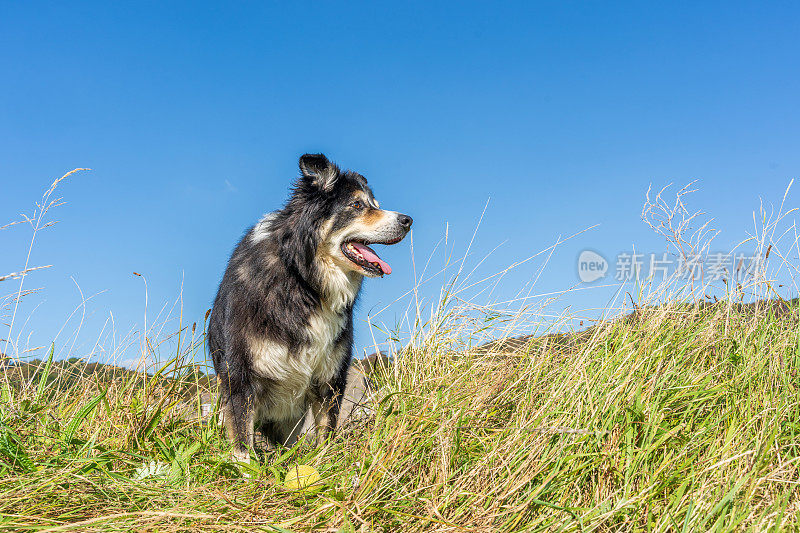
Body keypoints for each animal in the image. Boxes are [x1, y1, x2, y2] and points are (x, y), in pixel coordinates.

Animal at [206, 154, 412, 462]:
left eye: (374, 204)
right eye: (357, 205)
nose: (408, 220)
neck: (303, 279)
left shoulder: (330, 377)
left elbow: (326, 430)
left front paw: (322, 463)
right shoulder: (240, 377)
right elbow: (242, 440)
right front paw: (246, 468)